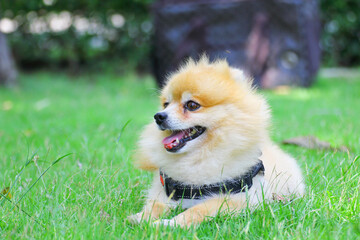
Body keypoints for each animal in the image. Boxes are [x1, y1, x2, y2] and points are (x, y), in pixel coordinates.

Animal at [128, 57, 306, 228]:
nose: (159, 116)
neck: (198, 157)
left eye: (192, 105)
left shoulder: (242, 197)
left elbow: (199, 209)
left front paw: (172, 223)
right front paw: (141, 217)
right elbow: (155, 206)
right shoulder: (165, 192)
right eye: (166, 104)